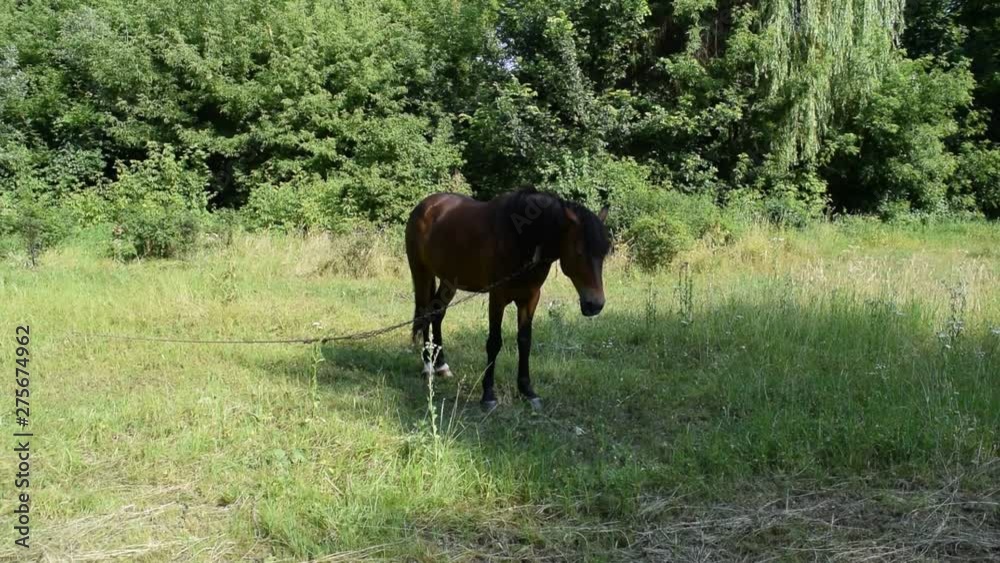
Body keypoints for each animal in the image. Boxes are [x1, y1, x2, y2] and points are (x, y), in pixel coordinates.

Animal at [405, 187, 610, 411]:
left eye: (604, 252)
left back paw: (441, 365)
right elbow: (494, 342)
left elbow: (525, 341)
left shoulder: (530, 298)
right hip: (422, 272)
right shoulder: (497, 297)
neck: (522, 238)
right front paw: (488, 395)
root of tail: (425, 205)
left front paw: (527, 391)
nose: (595, 304)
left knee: (437, 313)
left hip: (448, 280)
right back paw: (428, 367)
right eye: (579, 252)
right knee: (425, 312)